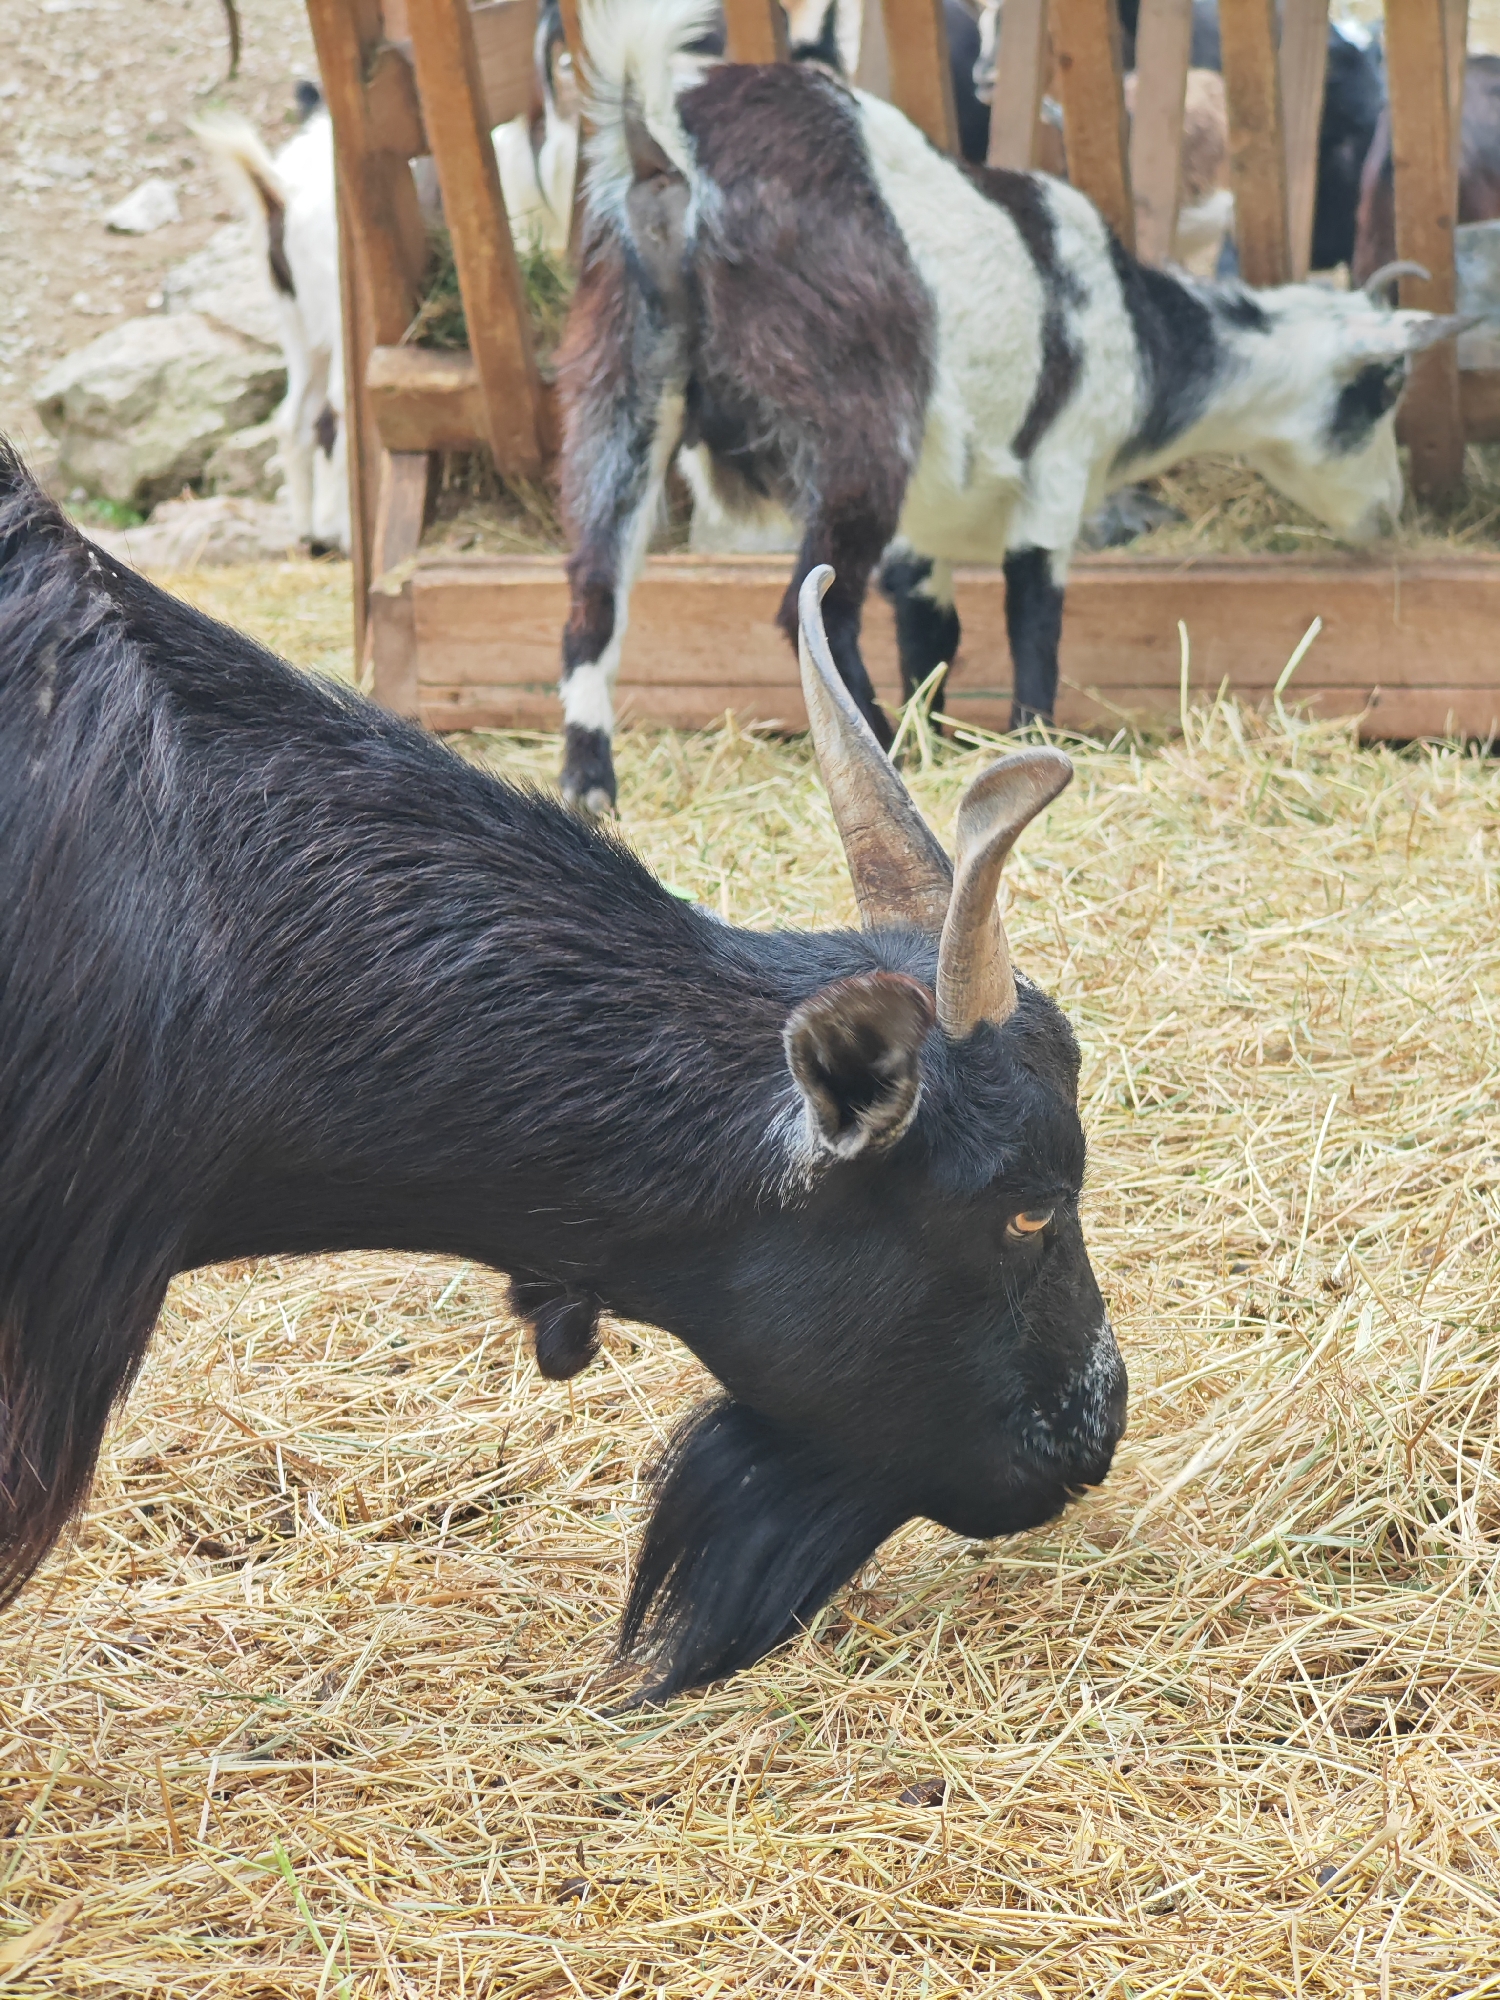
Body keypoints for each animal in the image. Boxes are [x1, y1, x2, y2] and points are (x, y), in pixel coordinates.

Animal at [553, 0, 1470, 809]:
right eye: (1383, 390)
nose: (1388, 513)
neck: (1138, 331)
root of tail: (668, 150)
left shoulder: (926, 527)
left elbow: (933, 634)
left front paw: (945, 738)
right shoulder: (1059, 467)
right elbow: (1034, 614)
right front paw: (1028, 740)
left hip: (621, 378)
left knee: (596, 591)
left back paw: (590, 784)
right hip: (859, 421)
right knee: (814, 607)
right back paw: (873, 746)